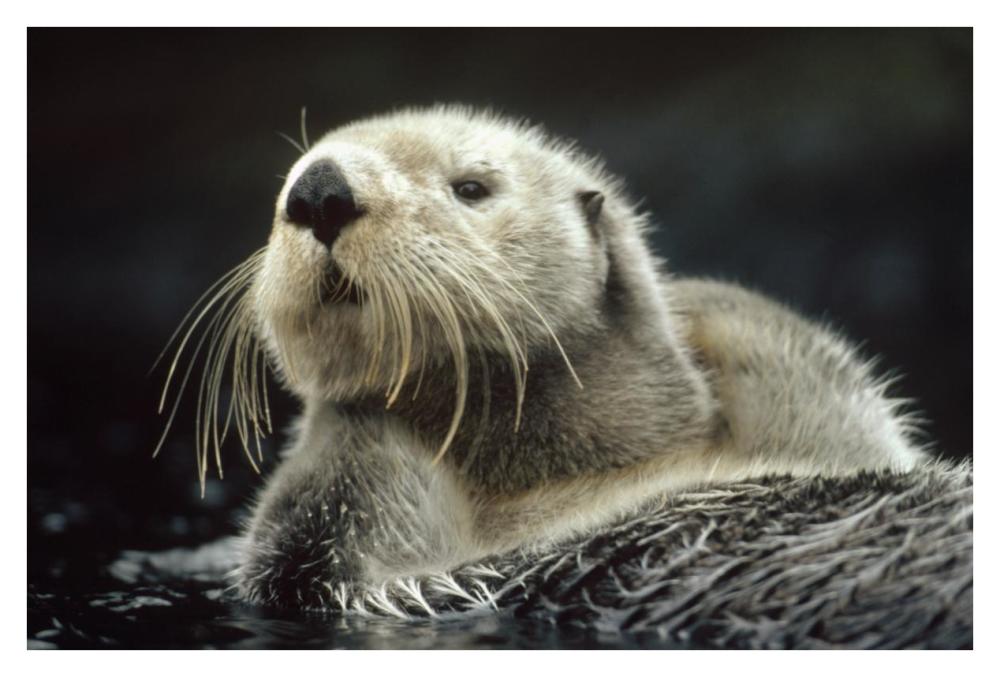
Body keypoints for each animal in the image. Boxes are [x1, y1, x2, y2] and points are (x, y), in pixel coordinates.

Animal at [157, 106, 927, 610]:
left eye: (471, 187)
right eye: (288, 180)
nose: (317, 189)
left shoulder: (838, 428)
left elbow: (831, 388)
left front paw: (700, 303)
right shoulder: (348, 562)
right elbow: (318, 515)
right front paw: (351, 417)